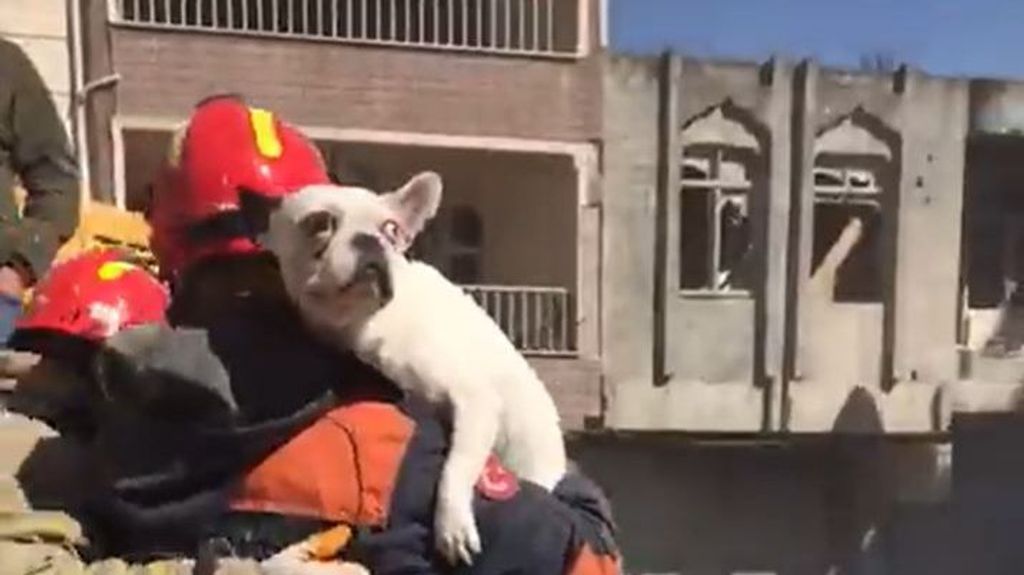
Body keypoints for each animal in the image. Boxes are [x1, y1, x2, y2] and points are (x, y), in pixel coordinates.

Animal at [239, 169, 569, 564]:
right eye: (319, 223)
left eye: (392, 229)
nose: (372, 240)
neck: (364, 323)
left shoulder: (474, 400)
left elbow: (456, 465)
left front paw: (452, 525)